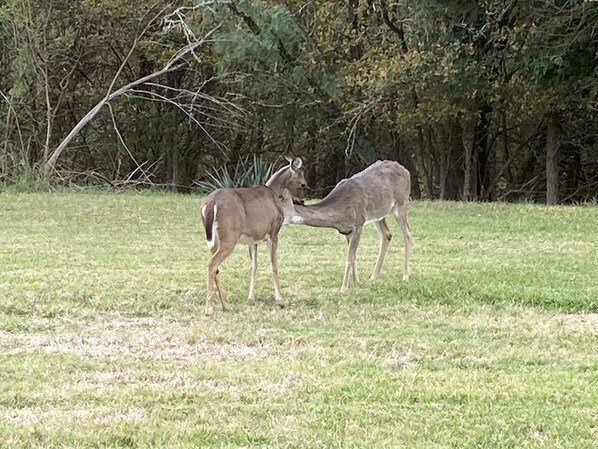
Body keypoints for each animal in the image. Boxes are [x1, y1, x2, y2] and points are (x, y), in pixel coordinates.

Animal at [202, 158, 308, 316]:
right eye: (303, 183)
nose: (302, 201)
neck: (275, 194)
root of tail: (210, 203)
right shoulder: (273, 232)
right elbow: (273, 265)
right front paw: (280, 298)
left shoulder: (252, 239)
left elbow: (253, 266)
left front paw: (250, 297)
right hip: (229, 236)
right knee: (212, 264)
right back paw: (209, 309)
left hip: (214, 240)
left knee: (216, 268)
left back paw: (226, 306)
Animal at [286, 159, 412, 292]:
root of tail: (406, 170)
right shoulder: (347, 231)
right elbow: (354, 257)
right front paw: (356, 282)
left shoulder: (358, 224)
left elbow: (349, 258)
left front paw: (344, 288)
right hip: (379, 213)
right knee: (386, 235)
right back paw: (373, 277)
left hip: (401, 202)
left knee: (407, 233)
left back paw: (405, 275)